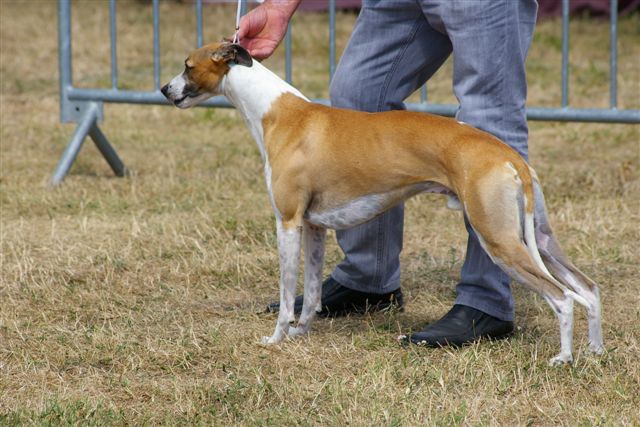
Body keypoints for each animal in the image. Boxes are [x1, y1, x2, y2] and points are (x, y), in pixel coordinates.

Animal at [162, 42, 604, 364]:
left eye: (187, 65)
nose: (164, 90)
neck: (279, 112)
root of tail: (509, 156)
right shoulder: (314, 227)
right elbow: (312, 293)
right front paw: (303, 333)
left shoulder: (287, 222)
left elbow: (288, 297)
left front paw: (276, 340)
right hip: (541, 239)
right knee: (589, 289)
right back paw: (596, 351)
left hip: (500, 239)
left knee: (564, 298)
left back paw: (563, 358)